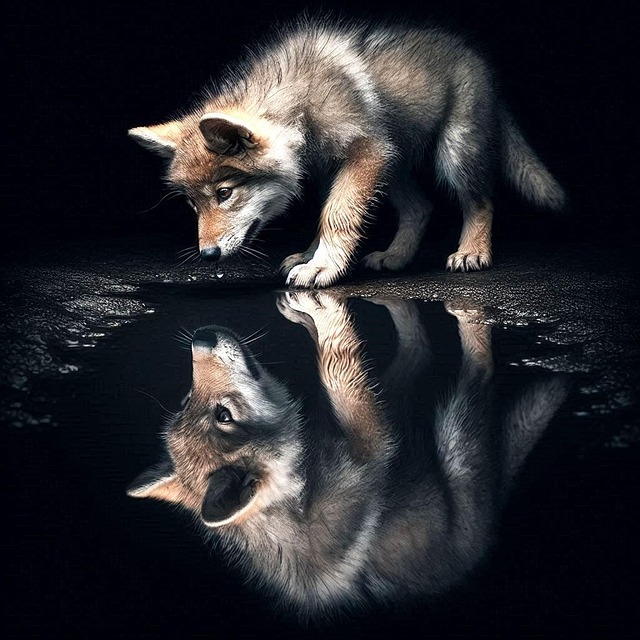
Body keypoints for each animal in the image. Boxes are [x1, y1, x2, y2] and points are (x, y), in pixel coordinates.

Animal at [127, 292, 569, 617]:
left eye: (190, 404)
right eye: (224, 414)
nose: (200, 337)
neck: (302, 488)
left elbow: (374, 361)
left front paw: (307, 312)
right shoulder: (374, 438)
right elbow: (339, 368)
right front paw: (322, 313)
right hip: (456, 433)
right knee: (479, 369)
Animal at [128, 17, 566, 288]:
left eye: (224, 193)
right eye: (191, 204)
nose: (207, 255)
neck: (297, 103)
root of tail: (479, 62)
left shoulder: (364, 152)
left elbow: (336, 214)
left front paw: (322, 266)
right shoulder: (337, 167)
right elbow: (329, 212)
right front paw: (311, 255)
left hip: (453, 149)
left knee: (480, 199)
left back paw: (472, 251)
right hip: (393, 162)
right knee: (421, 207)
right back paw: (395, 256)